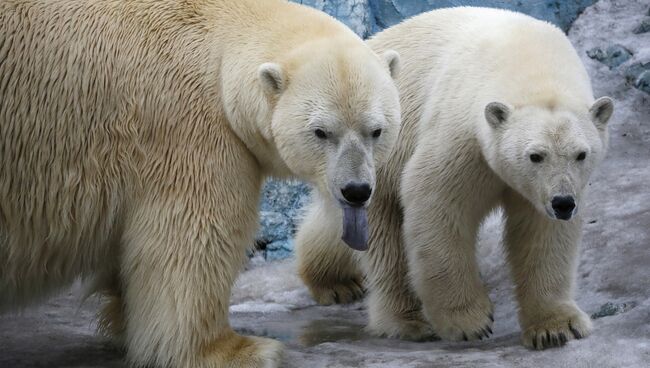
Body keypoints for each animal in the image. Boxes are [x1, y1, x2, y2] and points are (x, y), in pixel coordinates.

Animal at [296, 7, 612, 350]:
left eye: (581, 154)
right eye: (535, 155)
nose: (563, 203)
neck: (527, 59)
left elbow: (541, 233)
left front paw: (556, 326)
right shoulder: (461, 130)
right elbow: (437, 204)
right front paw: (468, 321)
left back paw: (337, 281)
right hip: (373, 155)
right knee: (384, 241)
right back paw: (403, 318)